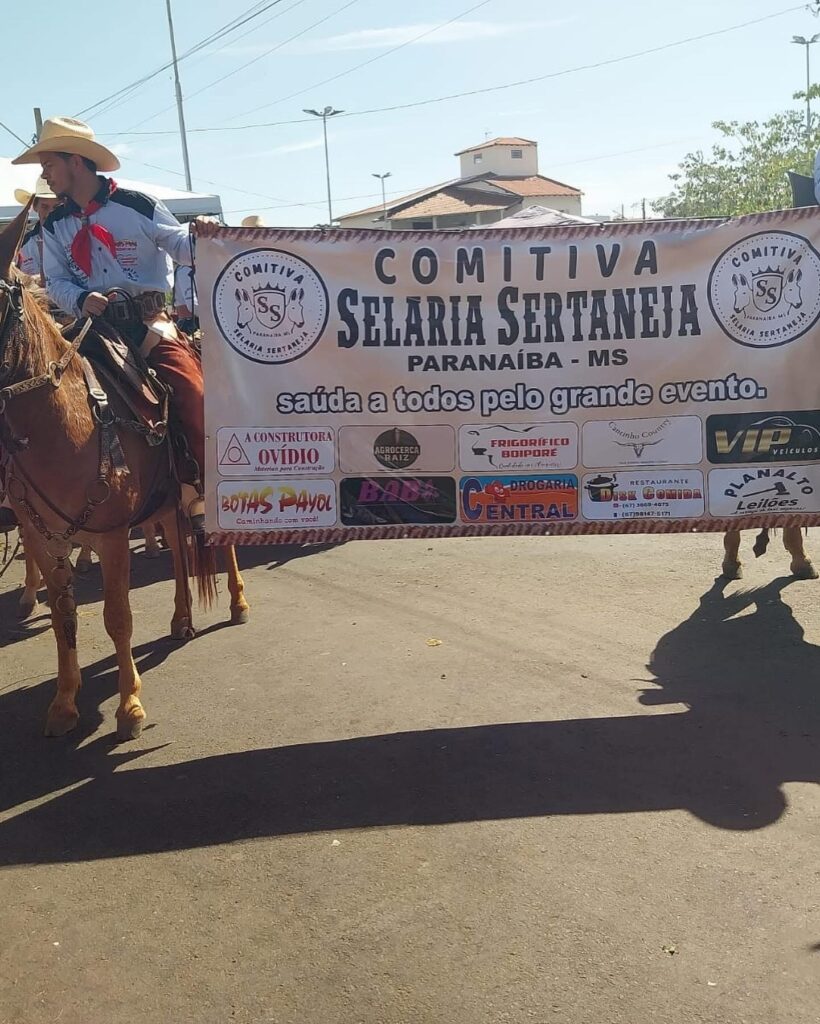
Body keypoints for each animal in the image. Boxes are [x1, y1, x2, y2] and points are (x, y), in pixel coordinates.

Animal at [0, 203, 249, 740]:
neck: (67, 425)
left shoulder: (112, 536)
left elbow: (118, 617)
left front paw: (129, 706)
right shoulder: (43, 537)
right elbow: (64, 618)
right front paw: (64, 704)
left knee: (220, 543)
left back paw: (238, 603)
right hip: (171, 499)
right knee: (178, 549)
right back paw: (181, 617)